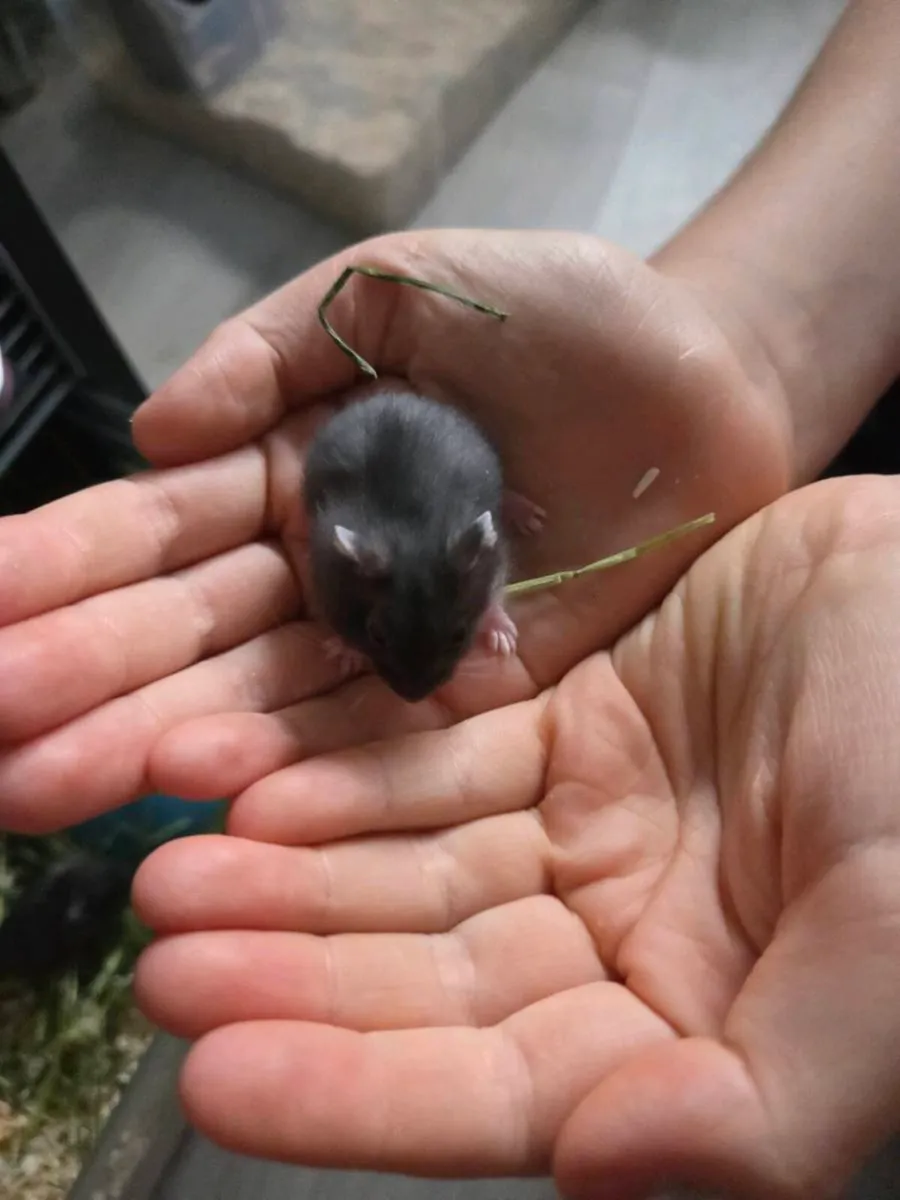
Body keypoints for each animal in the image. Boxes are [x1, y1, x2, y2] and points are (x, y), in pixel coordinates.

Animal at [302, 384, 544, 702]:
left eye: (459, 634)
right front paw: (343, 653)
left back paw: (529, 515)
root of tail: (397, 397)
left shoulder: (494, 559)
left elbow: (493, 596)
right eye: (376, 634)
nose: (414, 698)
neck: (413, 534)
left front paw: (504, 639)